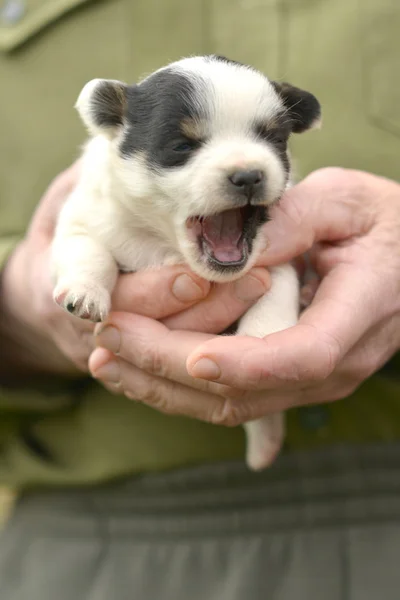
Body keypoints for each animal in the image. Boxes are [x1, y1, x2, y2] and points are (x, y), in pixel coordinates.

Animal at [51, 55, 322, 468]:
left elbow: (277, 284)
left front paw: (263, 336)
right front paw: (85, 293)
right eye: (182, 146)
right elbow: (90, 251)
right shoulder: (83, 219)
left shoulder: (280, 250)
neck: (167, 244)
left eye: (275, 140)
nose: (248, 176)